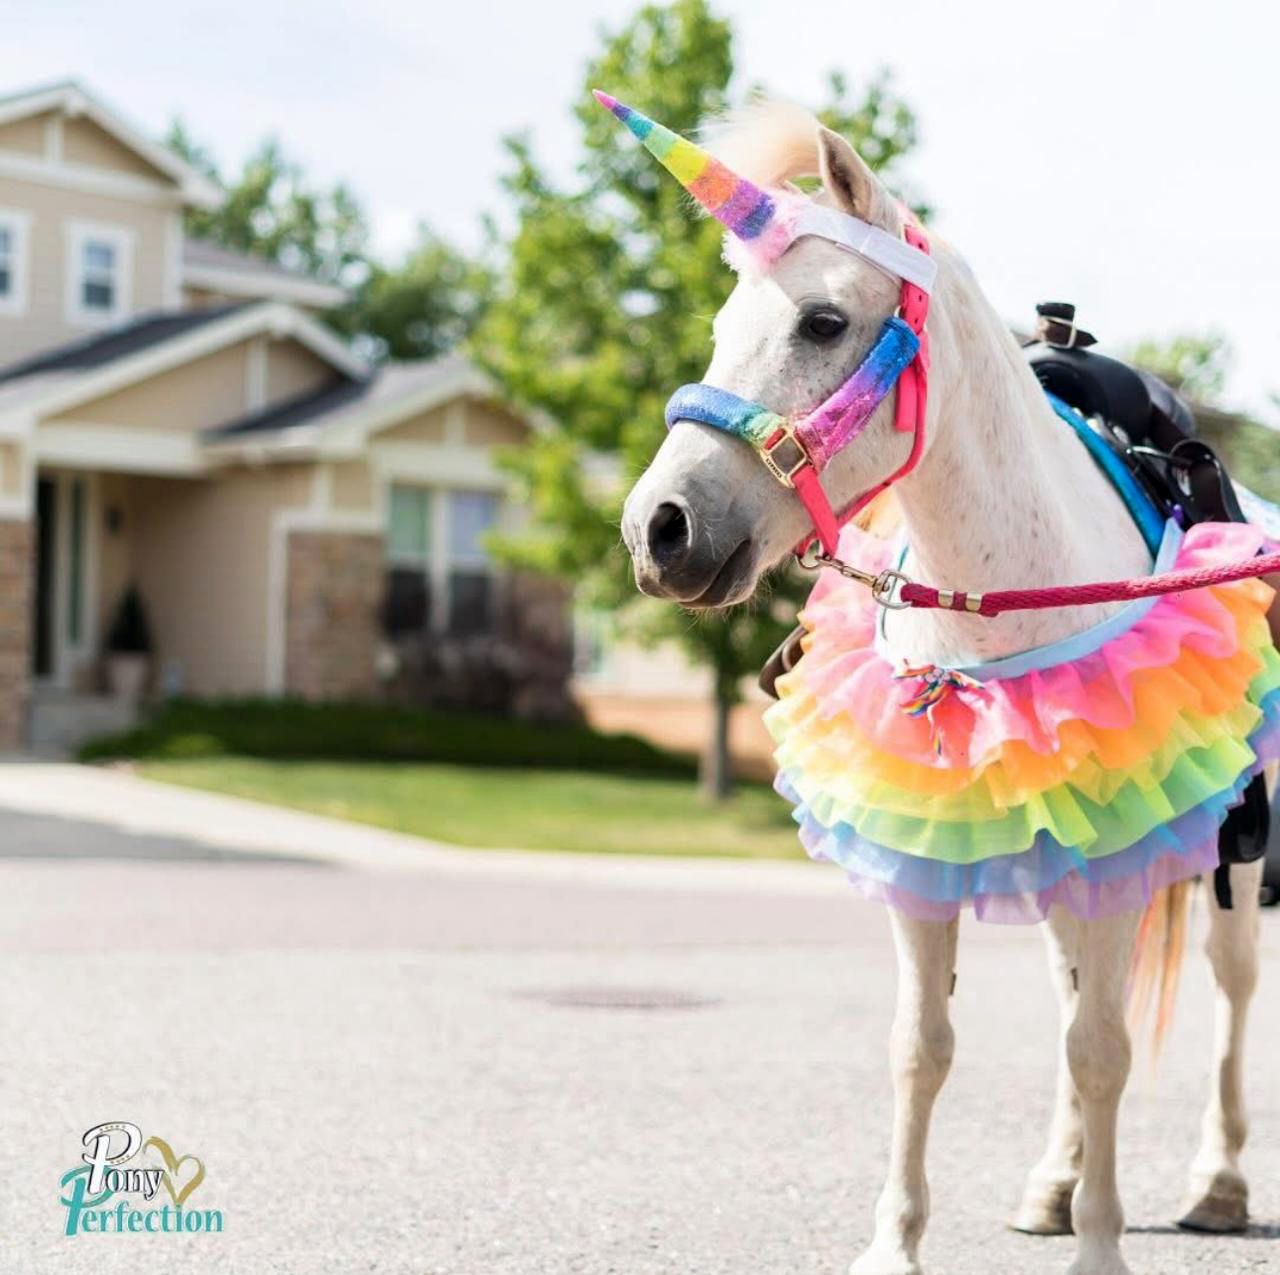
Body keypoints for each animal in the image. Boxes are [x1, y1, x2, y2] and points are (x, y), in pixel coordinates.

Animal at [597, 91, 1279, 1275]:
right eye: (721, 327)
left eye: (824, 323)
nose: (660, 529)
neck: (1003, 591)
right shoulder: (926, 858)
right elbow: (923, 1047)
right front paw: (896, 1246)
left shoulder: (1123, 864)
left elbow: (1102, 1050)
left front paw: (1101, 1251)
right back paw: (1054, 1181)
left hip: (1226, 856)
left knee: (1228, 988)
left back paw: (1218, 1181)